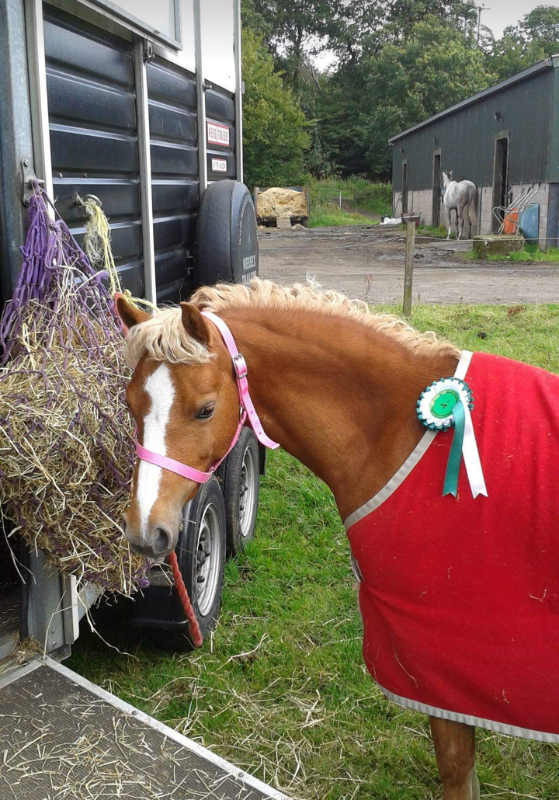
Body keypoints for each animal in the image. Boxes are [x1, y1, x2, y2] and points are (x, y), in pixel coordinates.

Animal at [116, 279, 559, 800]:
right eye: (130, 404)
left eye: (205, 409)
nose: (146, 530)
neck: (400, 430)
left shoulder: (442, 668)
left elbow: (456, 769)